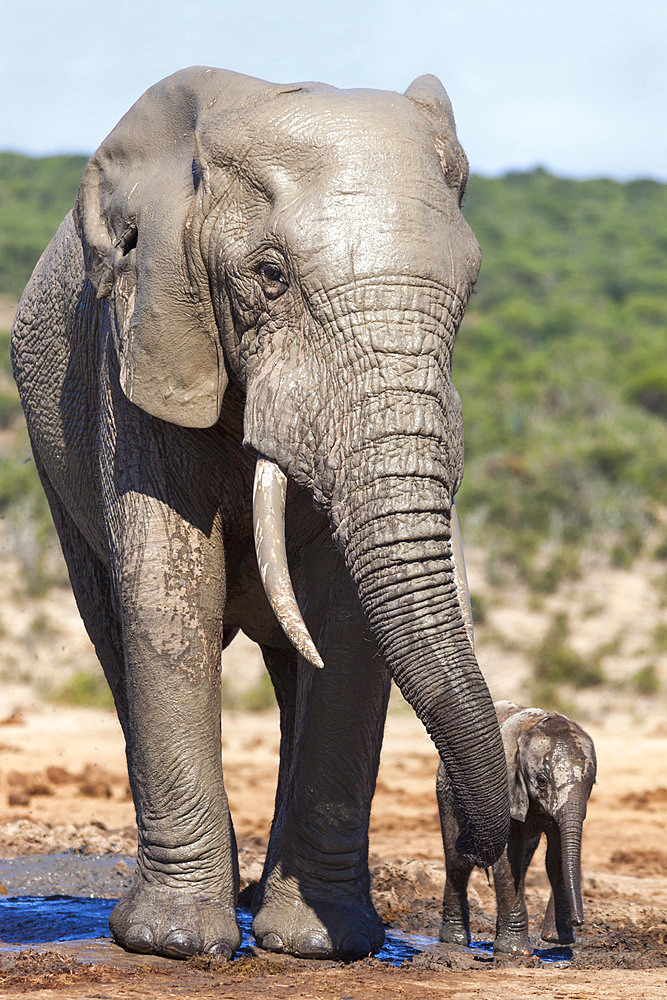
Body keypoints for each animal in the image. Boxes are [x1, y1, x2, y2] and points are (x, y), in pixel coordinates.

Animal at [10, 68, 508, 960]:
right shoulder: (141, 340)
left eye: (471, 287)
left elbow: (344, 619)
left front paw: (318, 945)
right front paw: (173, 942)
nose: (480, 853)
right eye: (270, 275)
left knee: (291, 668)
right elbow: (169, 594)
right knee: (114, 634)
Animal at [438, 700, 600, 956]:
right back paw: (454, 940)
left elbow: (555, 857)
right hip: (446, 791)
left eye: (592, 783)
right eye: (541, 780)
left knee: (523, 862)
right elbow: (508, 856)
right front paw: (515, 952)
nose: (579, 921)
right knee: (458, 862)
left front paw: (557, 939)